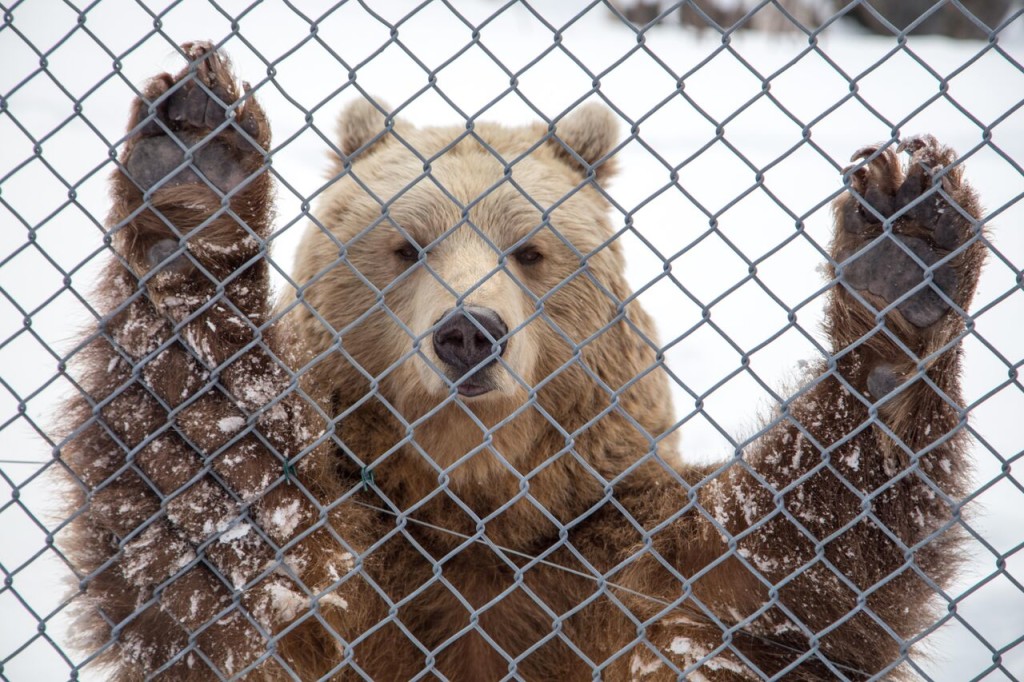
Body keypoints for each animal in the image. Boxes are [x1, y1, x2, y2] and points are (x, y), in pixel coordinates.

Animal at [56, 43, 983, 679]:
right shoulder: (359, 558)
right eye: (407, 245)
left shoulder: (614, 559)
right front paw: (195, 171)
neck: (475, 503)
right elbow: (214, 503)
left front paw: (905, 259)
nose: (470, 333)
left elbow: (793, 571)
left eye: (530, 250)